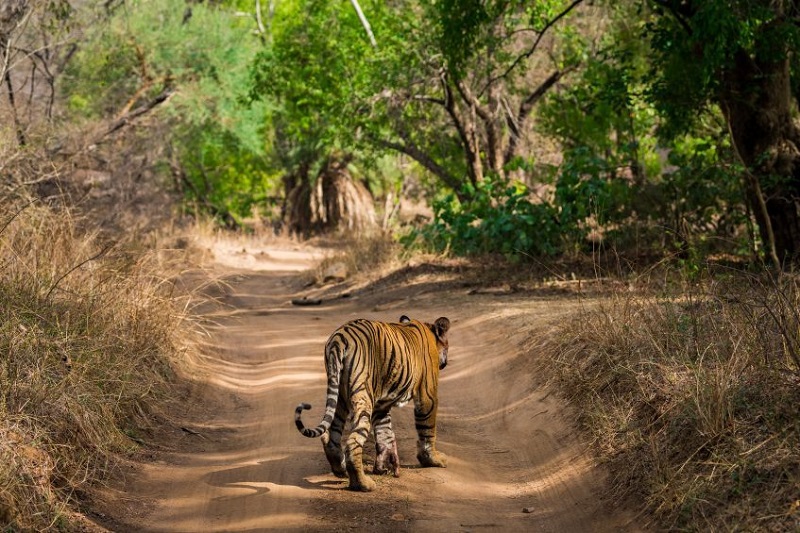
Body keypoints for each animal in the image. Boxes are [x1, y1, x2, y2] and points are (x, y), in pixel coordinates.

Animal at [296, 312, 454, 490]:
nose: (445, 362)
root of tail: (339, 338)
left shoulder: (381, 403)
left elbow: (384, 432)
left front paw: (382, 467)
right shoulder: (427, 393)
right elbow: (427, 428)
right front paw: (432, 459)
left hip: (340, 395)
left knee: (332, 436)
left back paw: (340, 469)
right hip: (362, 395)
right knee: (353, 441)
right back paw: (363, 484)